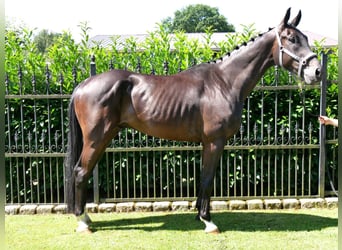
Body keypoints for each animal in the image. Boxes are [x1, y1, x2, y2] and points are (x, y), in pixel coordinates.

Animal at [65, 8, 322, 234]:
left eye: (306, 38)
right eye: (292, 39)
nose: (317, 72)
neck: (224, 82)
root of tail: (83, 85)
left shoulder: (207, 143)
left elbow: (203, 179)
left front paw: (199, 214)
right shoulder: (214, 142)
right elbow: (207, 179)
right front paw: (208, 221)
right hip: (97, 138)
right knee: (81, 172)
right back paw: (83, 222)